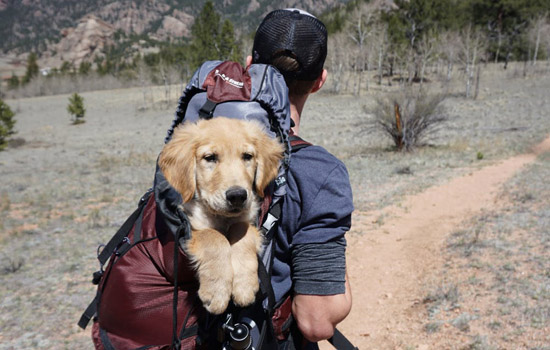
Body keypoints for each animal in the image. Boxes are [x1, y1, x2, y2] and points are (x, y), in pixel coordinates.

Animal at [156, 117, 282, 314]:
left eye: (247, 156)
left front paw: (244, 285)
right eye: (210, 158)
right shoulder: (191, 225)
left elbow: (242, 231)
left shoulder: (248, 220)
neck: (222, 217)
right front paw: (217, 292)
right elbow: (214, 237)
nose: (237, 196)